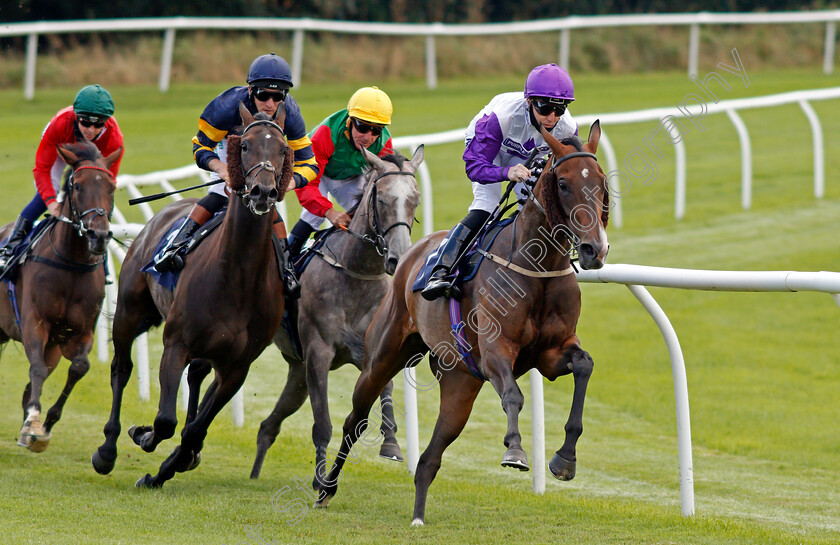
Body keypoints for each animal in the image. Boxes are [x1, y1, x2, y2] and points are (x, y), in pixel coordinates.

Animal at [0, 140, 121, 450]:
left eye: (112, 187)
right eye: (77, 185)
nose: (98, 235)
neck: (71, 263)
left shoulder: (79, 331)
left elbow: (78, 367)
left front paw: (44, 425)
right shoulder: (35, 321)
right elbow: (37, 369)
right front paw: (33, 421)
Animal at [90, 104, 294, 486]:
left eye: (283, 149)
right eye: (245, 146)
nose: (263, 192)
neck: (237, 276)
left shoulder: (237, 367)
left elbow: (195, 430)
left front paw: (163, 471)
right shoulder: (176, 343)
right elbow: (165, 420)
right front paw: (144, 437)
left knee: (196, 377)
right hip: (129, 311)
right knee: (121, 369)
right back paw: (107, 450)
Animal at [248, 144, 420, 484]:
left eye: (415, 199)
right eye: (382, 199)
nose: (398, 257)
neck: (356, 274)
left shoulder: (370, 352)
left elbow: (385, 391)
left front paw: (391, 443)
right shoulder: (318, 353)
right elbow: (322, 423)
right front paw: (320, 478)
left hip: (297, 372)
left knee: (268, 426)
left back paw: (254, 473)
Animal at [312, 120, 608, 524]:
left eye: (601, 180)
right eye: (562, 183)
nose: (595, 249)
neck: (537, 266)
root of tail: (411, 255)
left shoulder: (550, 353)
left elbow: (584, 365)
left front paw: (565, 459)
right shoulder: (495, 350)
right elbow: (513, 395)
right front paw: (515, 450)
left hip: (459, 382)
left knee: (429, 458)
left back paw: (418, 516)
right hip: (381, 358)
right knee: (354, 421)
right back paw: (326, 488)